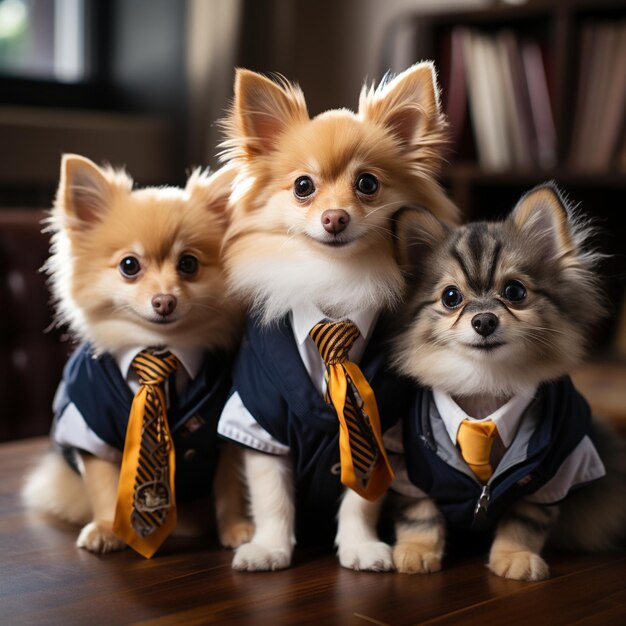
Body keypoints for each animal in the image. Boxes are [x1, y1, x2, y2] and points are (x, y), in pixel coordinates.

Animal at [22, 154, 251, 552]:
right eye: (129, 265)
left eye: (188, 264)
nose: (164, 300)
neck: (159, 349)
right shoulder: (89, 426)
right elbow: (103, 482)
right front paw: (105, 529)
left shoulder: (224, 431)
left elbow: (228, 485)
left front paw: (235, 527)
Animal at [216, 64, 458, 572]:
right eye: (302, 187)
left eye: (367, 184)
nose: (334, 218)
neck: (335, 284)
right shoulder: (260, 419)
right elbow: (272, 496)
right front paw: (269, 548)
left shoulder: (380, 425)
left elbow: (362, 498)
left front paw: (361, 547)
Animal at [388, 183, 620, 576]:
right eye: (451, 297)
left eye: (514, 291)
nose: (484, 320)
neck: (485, 389)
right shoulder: (412, 465)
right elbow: (420, 513)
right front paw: (417, 551)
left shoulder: (556, 469)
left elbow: (525, 519)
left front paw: (514, 557)